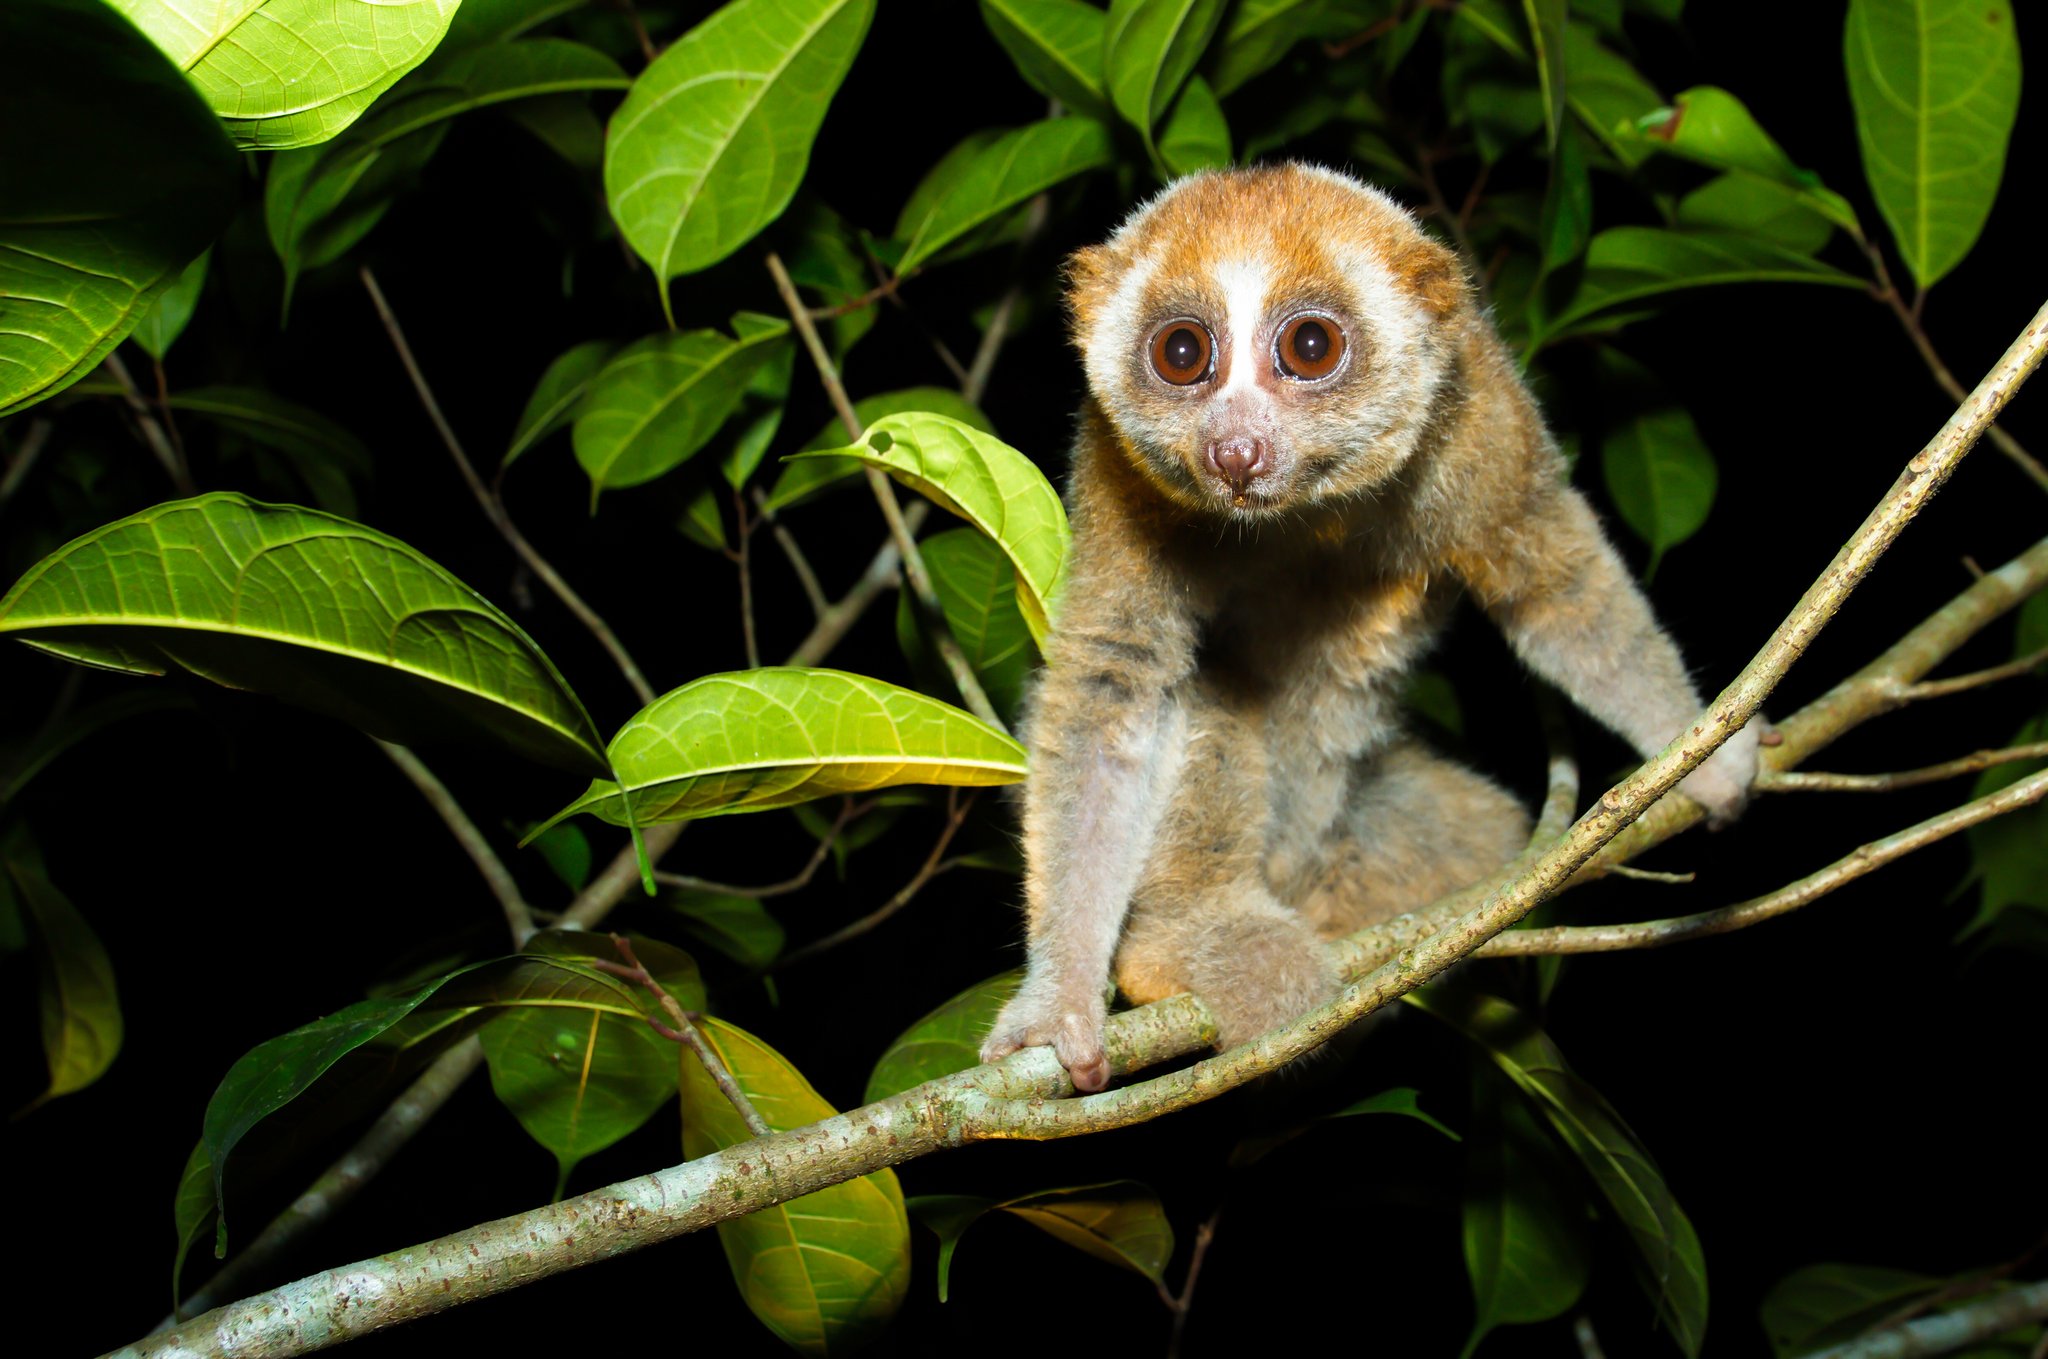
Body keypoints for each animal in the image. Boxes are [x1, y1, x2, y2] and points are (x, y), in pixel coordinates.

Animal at [978, 164, 1759, 1093]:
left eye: (1311, 346)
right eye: (1182, 354)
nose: (1234, 450)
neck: (1309, 509)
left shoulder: (1479, 410)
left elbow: (1557, 585)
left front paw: (1705, 758)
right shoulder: (1117, 475)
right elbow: (1114, 685)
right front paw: (1058, 1002)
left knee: (1483, 829)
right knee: (1208, 690)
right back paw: (1190, 940)